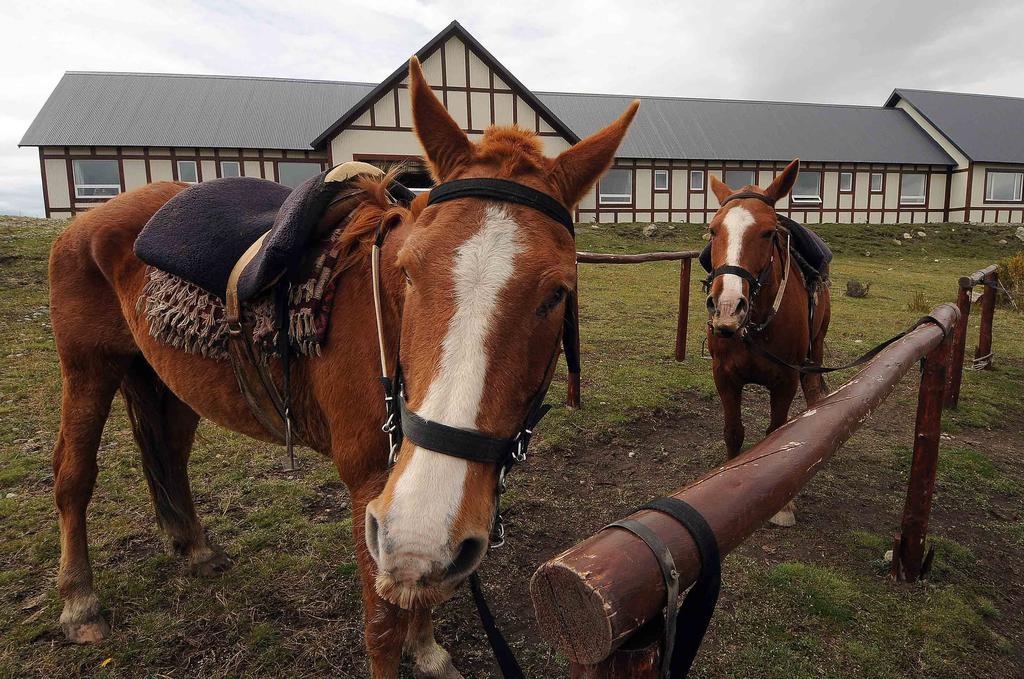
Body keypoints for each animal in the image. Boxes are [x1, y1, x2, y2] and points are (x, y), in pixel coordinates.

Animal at [49, 57, 638, 675]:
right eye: (408, 271)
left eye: (557, 293)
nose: (420, 529)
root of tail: (92, 221)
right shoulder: (371, 490)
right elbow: (381, 627)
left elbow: (416, 588)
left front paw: (427, 650)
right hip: (87, 370)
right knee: (73, 475)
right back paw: (80, 602)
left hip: (171, 385)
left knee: (170, 454)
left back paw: (195, 548)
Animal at [704, 160, 831, 524]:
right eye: (713, 231)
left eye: (768, 233)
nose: (727, 307)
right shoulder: (724, 377)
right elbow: (734, 432)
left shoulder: (785, 380)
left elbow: (777, 433)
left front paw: (784, 505)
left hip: (816, 346)